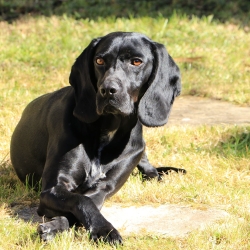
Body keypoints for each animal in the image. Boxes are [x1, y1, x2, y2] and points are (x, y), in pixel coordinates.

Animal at [10, 31, 182, 244]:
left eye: (136, 62)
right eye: (99, 60)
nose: (108, 90)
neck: (107, 129)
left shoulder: (105, 187)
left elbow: (85, 202)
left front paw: (57, 226)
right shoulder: (53, 187)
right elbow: (81, 200)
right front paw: (104, 230)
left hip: (140, 148)